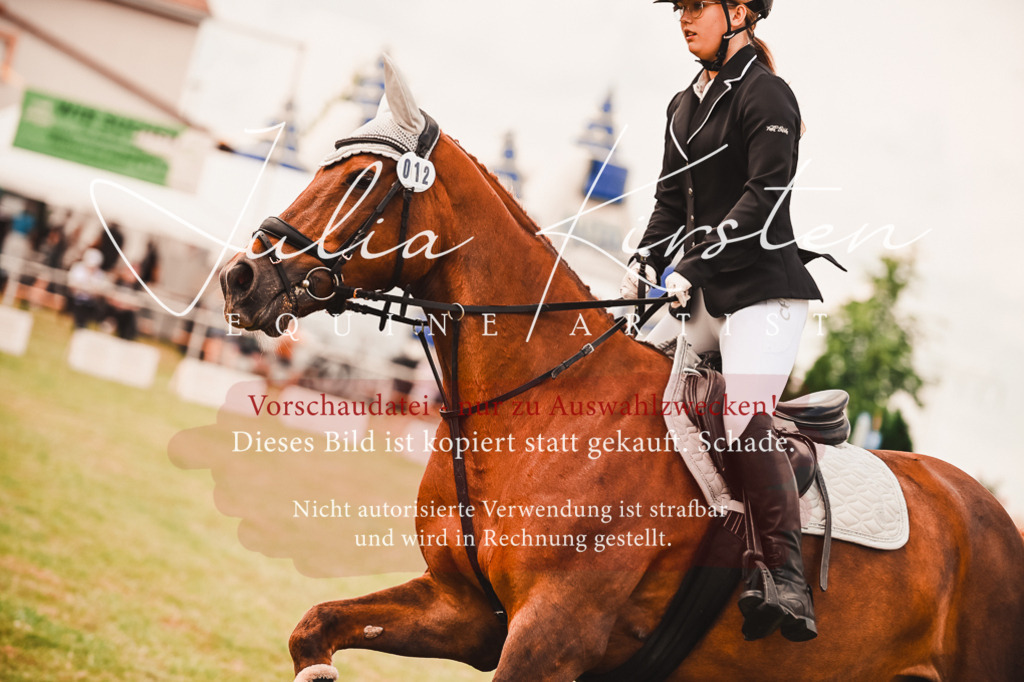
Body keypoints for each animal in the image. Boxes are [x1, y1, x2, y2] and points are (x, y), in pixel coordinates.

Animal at [219, 60, 1024, 681]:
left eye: (359, 182)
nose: (239, 280)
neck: (538, 403)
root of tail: (992, 516)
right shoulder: (464, 610)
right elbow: (315, 625)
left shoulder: (550, 636)